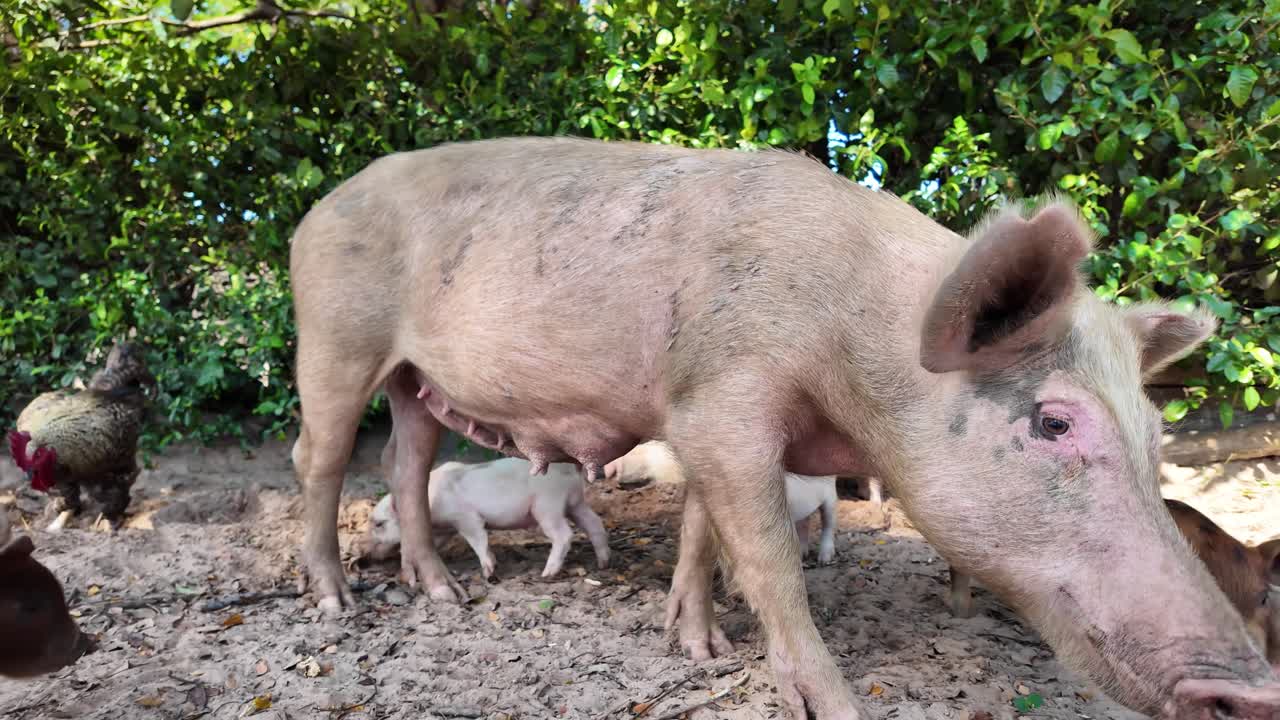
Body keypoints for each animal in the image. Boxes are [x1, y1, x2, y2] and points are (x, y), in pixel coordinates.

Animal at [360, 457, 610, 579]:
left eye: (379, 524)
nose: (366, 554)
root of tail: (570, 469)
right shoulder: (445, 528)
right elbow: (439, 542)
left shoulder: (465, 517)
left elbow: (478, 538)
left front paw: (488, 572)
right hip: (575, 502)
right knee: (594, 523)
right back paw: (603, 562)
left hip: (547, 505)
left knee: (564, 534)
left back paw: (546, 574)